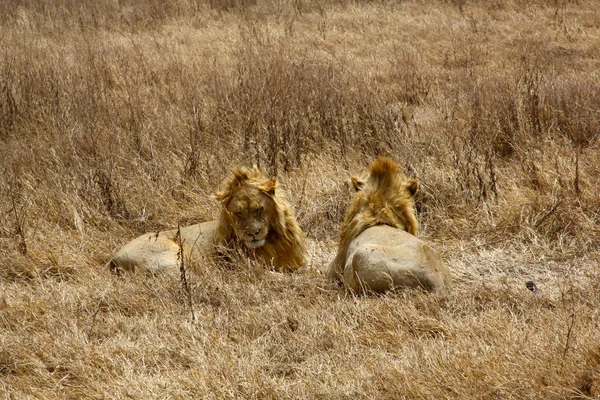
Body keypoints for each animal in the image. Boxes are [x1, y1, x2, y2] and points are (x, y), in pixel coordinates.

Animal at [105, 166, 308, 276]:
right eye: (238, 214)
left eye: (259, 210)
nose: (252, 234)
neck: (273, 242)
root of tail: (114, 258)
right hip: (170, 255)